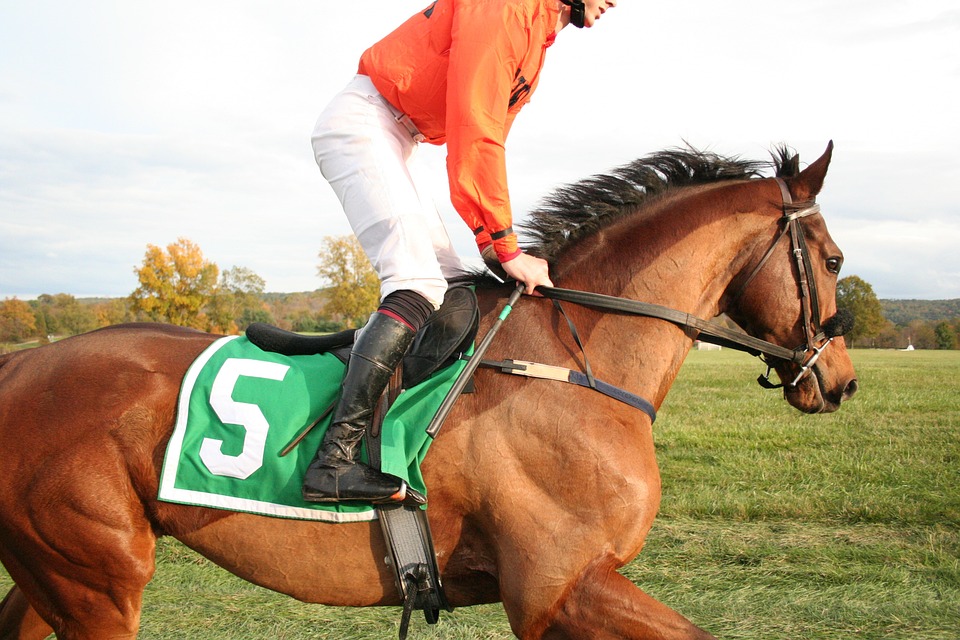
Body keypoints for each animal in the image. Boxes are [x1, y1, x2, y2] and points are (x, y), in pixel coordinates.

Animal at [0, 145, 856, 640]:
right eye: (835, 259)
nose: (841, 381)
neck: (570, 360)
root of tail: (17, 368)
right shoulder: (558, 588)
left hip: (55, 575)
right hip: (95, 579)